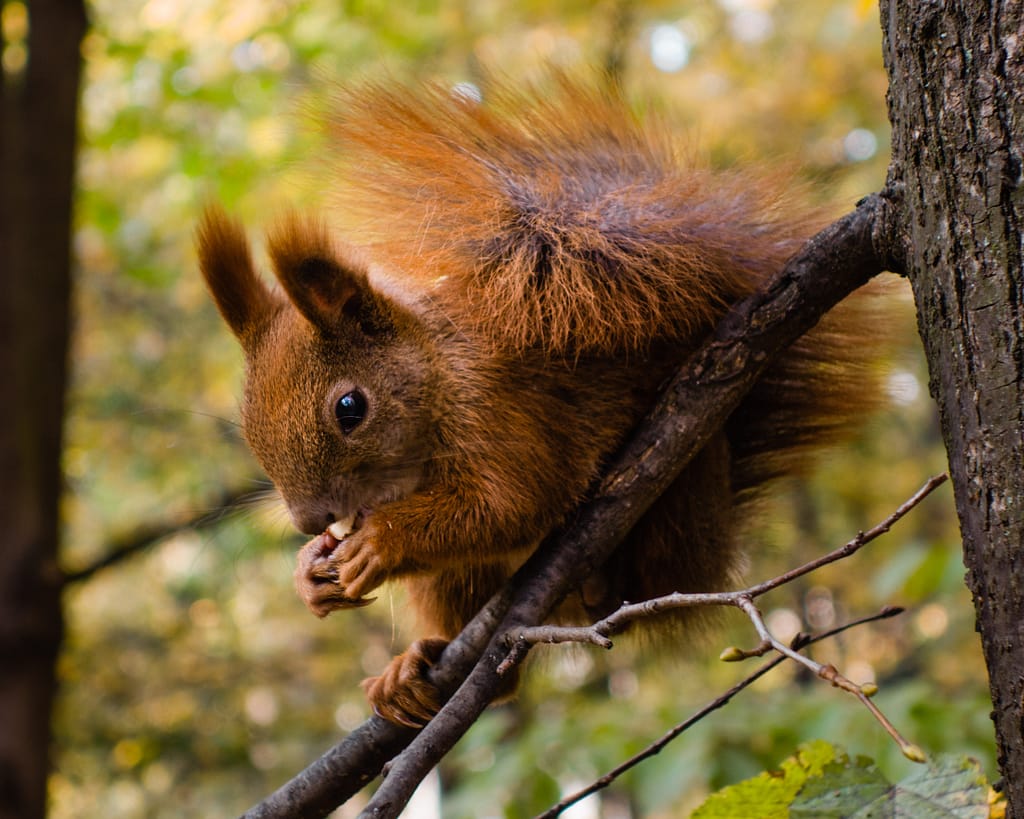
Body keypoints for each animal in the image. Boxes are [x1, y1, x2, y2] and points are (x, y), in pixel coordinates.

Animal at [197, 74, 884, 727]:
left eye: (349, 408)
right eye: (247, 426)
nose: (310, 519)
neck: (439, 374)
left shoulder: (501, 409)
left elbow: (513, 503)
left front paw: (381, 540)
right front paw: (310, 571)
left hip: (674, 501)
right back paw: (415, 668)